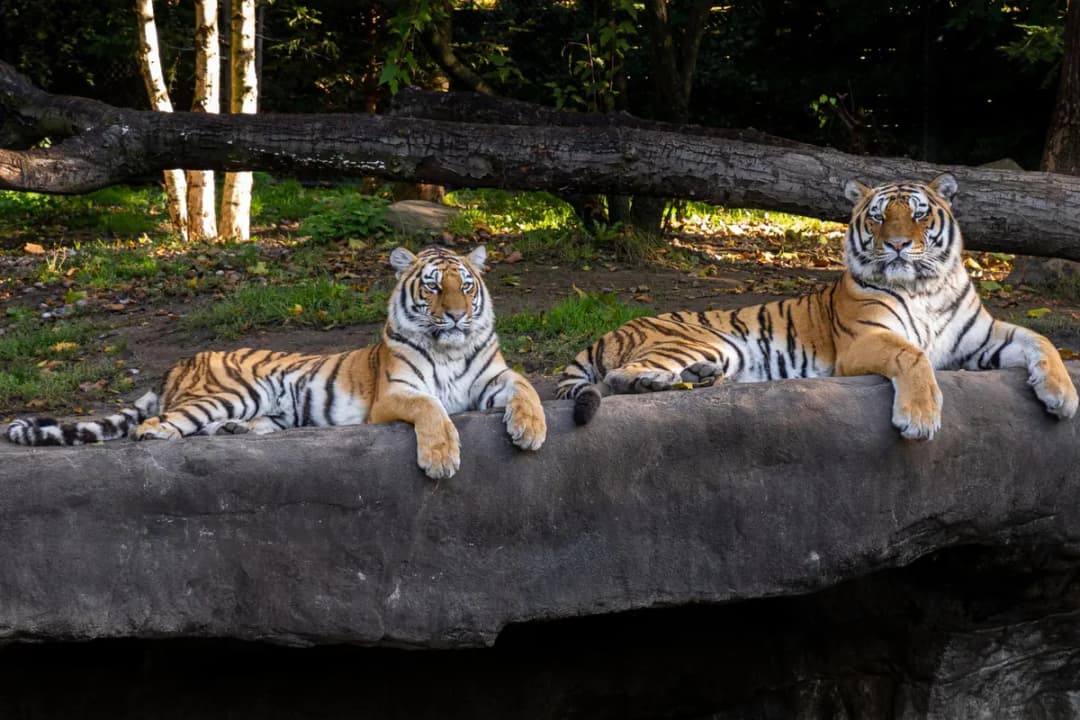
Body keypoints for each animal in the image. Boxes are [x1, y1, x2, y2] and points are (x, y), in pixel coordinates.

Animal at [5, 245, 547, 479]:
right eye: (433, 287)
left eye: (467, 286)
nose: (455, 315)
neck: (449, 347)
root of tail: (182, 362)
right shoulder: (397, 393)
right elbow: (432, 410)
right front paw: (440, 458)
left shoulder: (495, 377)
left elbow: (527, 389)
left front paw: (530, 430)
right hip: (232, 392)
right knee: (158, 424)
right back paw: (161, 435)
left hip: (267, 406)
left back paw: (233, 432)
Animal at [557, 173, 1078, 438]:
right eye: (878, 216)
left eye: (918, 214)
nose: (897, 245)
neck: (924, 287)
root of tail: (612, 331)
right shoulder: (865, 340)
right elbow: (912, 355)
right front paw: (920, 418)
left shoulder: (982, 337)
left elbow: (1043, 341)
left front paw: (1063, 396)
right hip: (693, 341)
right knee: (617, 377)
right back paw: (667, 381)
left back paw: (701, 380)